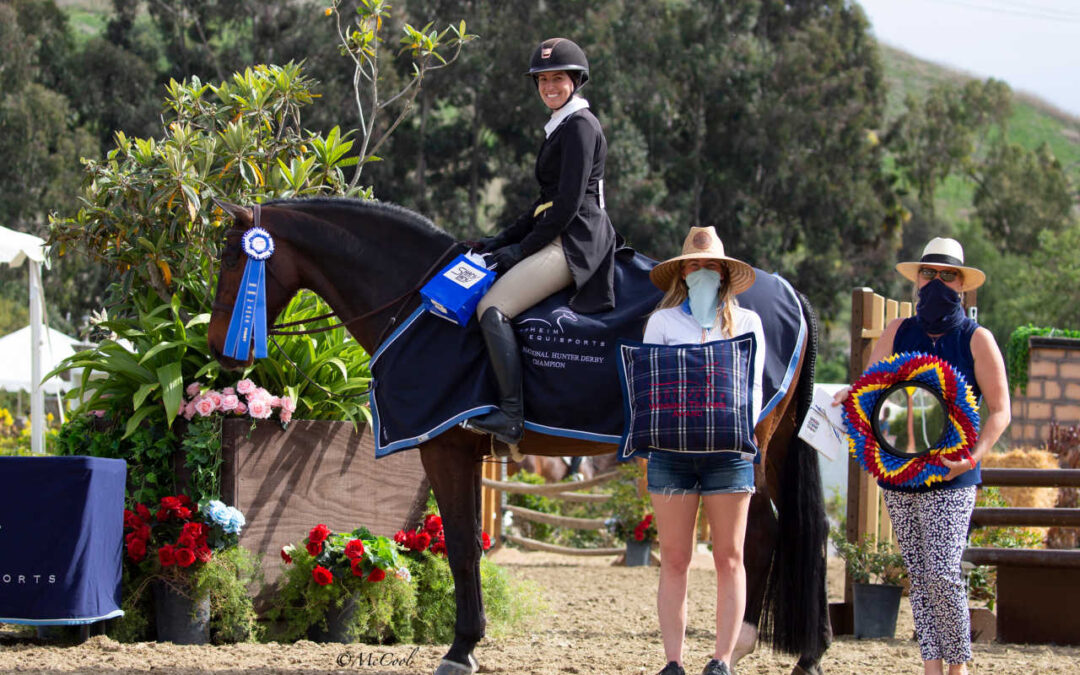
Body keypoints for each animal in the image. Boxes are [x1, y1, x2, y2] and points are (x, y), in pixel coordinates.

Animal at [206, 197, 829, 673]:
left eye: (236, 260)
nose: (219, 347)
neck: (415, 300)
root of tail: (791, 295)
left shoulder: (445, 445)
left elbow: (461, 544)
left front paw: (460, 649)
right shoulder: (459, 451)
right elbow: (469, 546)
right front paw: (467, 643)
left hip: (741, 447)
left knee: (768, 530)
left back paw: (754, 649)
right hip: (766, 448)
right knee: (797, 529)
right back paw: (797, 653)